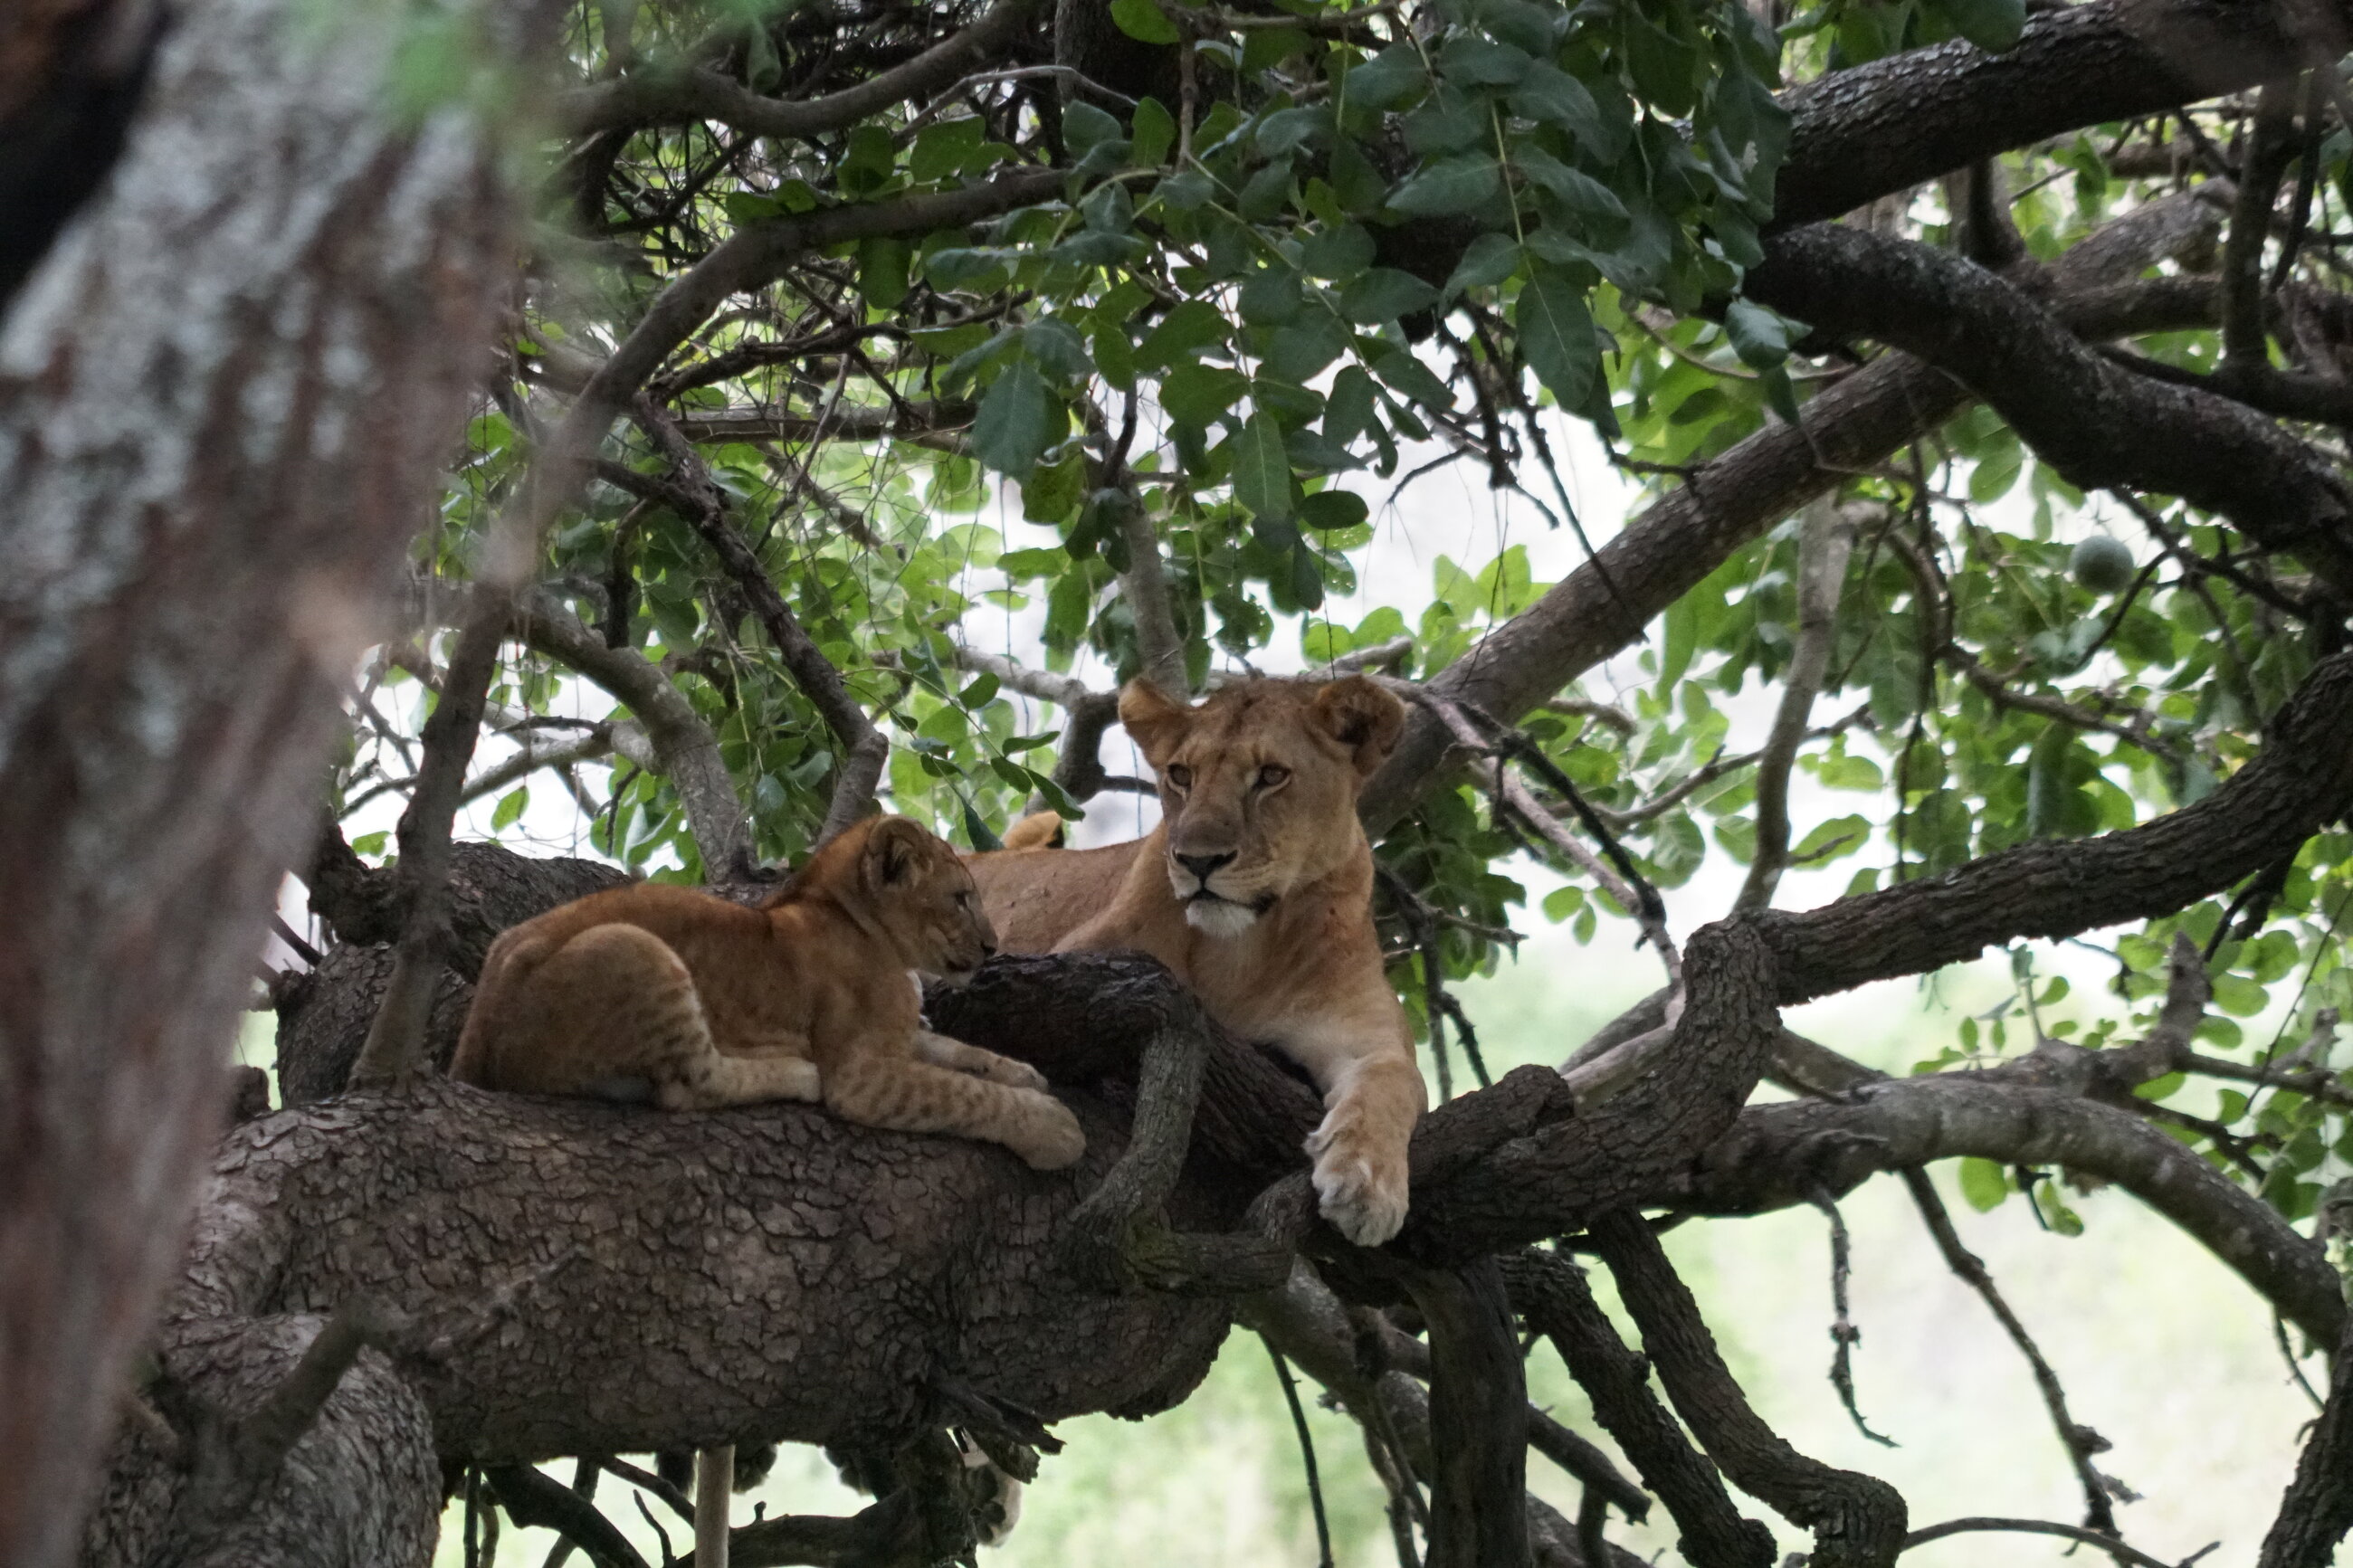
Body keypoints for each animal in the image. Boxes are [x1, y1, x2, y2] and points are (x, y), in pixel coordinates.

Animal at [451, 814, 1086, 1170]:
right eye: (960, 898)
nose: (991, 946)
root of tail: (474, 1041)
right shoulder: (861, 1076)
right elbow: (965, 1095)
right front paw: (1052, 1130)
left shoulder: (900, 1035)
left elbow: (957, 1052)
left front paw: (1023, 1072)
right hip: (633, 947)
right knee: (688, 1087)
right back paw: (794, 1073)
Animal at [965, 676, 1425, 1244]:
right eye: (1181, 776)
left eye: (1271, 776)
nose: (1198, 861)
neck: (1242, 950)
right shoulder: (1067, 970)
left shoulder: (1369, 1037)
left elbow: (1392, 1083)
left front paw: (1368, 1185)